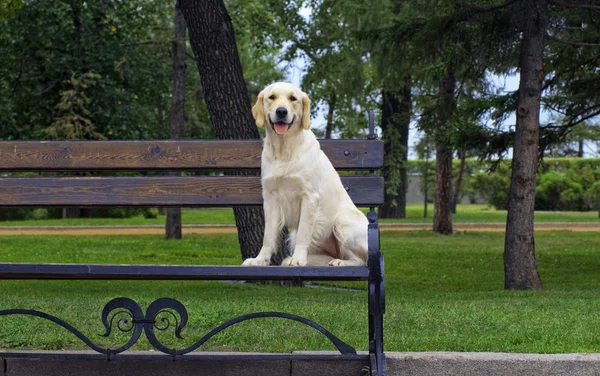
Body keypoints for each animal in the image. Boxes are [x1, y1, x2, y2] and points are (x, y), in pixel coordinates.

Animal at [241, 81, 368, 268]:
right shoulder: (270, 197)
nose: (281, 111)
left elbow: (304, 232)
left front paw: (298, 259)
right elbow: (268, 236)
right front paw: (260, 260)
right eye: (272, 97)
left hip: (342, 222)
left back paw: (340, 262)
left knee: (362, 260)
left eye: (293, 98)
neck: (284, 150)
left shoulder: (309, 197)